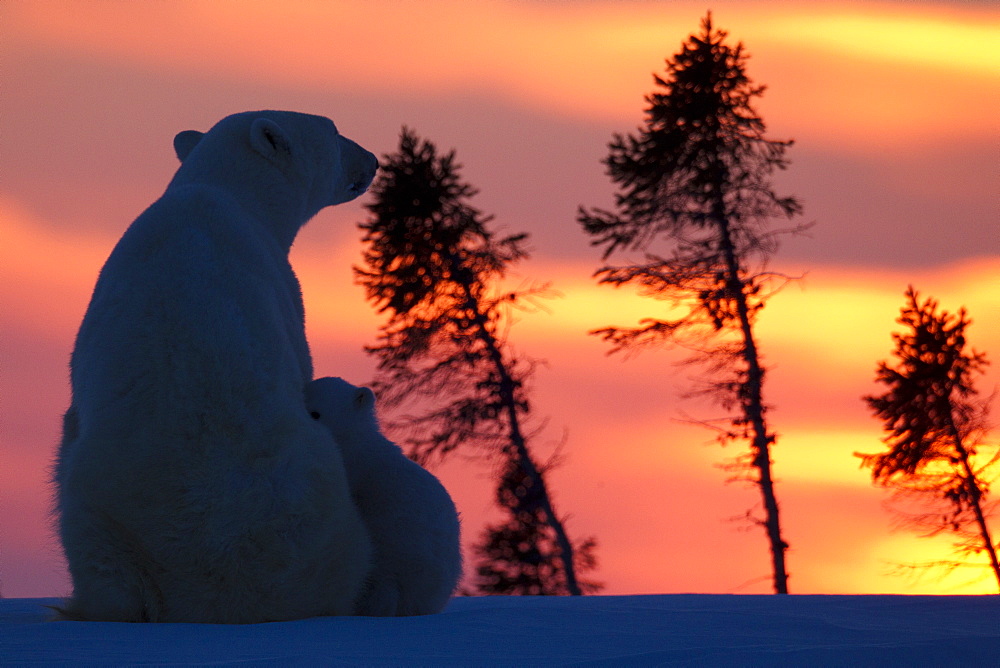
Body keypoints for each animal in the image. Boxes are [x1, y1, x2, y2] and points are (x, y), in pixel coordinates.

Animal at [56, 112, 380, 624]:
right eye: (331, 129)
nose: (372, 161)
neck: (218, 189)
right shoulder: (284, 288)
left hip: (99, 520)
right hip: (319, 507)